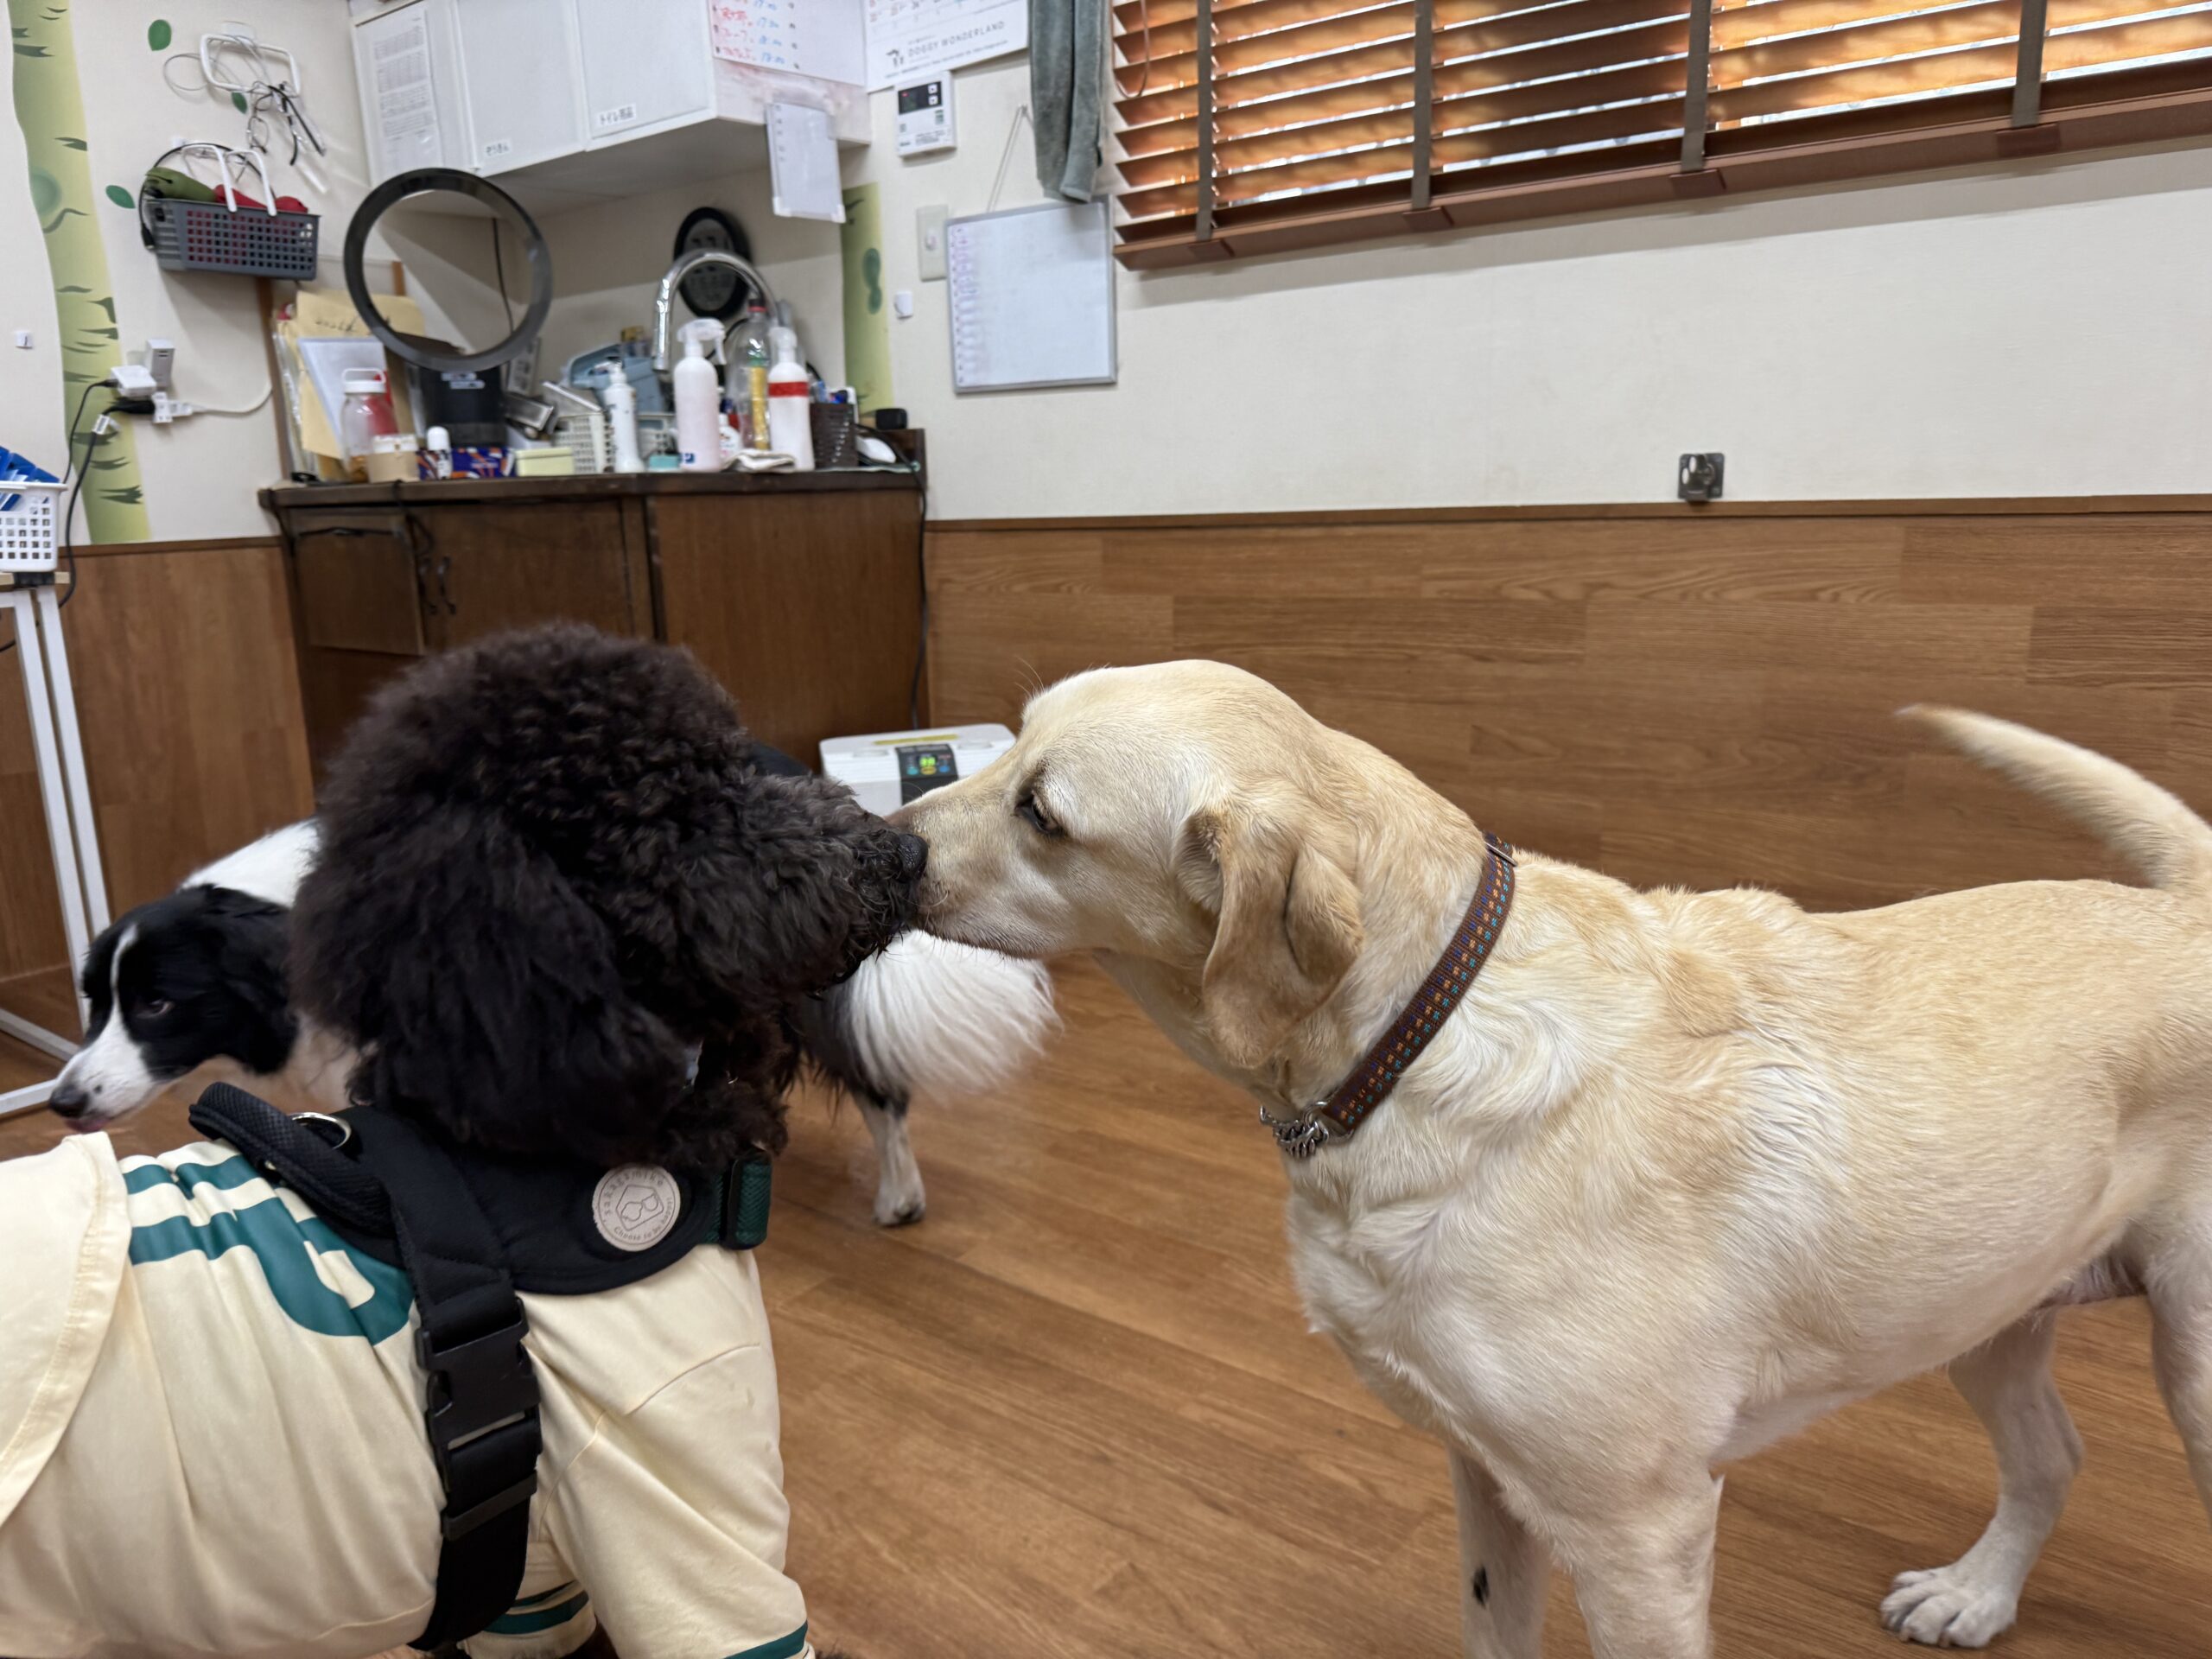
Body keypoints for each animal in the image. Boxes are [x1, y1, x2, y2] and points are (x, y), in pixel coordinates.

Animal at [895, 659, 2212, 1658]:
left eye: (1042, 812)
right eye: (1009, 746)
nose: (874, 843)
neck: (1416, 1032)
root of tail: (2189, 906)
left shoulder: (1641, 1536)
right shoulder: (1486, 1475)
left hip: (2187, 1362)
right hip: (1983, 1304)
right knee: (2050, 1457)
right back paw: (1974, 1595)